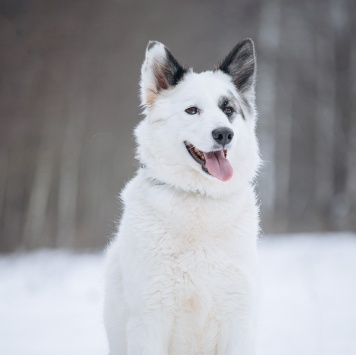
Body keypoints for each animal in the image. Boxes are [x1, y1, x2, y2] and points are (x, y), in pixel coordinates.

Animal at [104, 39, 260, 355]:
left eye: (228, 109)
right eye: (192, 110)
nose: (224, 134)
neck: (198, 198)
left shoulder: (238, 318)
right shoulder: (149, 321)